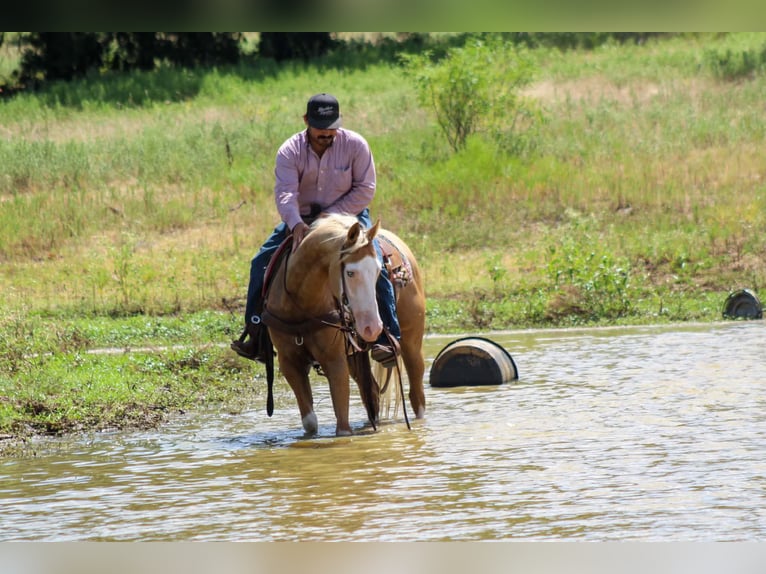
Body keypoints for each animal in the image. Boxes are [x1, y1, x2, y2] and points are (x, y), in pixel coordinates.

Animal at [260, 213, 426, 436]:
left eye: (377, 271)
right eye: (350, 273)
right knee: (371, 393)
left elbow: (343, 426)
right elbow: (310, 421)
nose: (373, 328)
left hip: (412, 343)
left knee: (416, 395)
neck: (301, 304)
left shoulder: (335, 361)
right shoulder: (289, 363)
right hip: (356, 357)